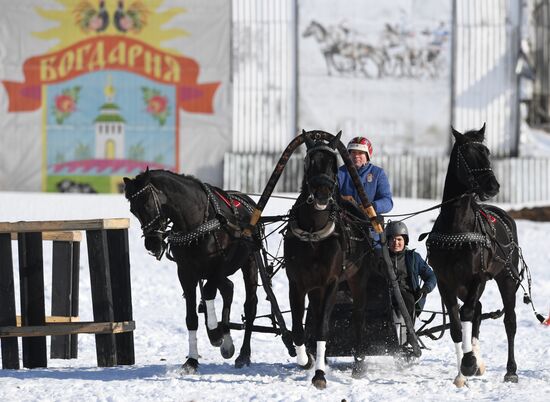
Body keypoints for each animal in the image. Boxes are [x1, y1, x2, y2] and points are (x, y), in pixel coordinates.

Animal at [125, 168, 264, 372]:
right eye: (133, 210)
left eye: (148, 204)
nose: (152, 244)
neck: (196, 222)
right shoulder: (185, 272)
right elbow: (191, 318)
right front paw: (191, 361)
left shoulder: (218, 266)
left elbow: (211, 290)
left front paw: (215, 333)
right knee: (226, 288)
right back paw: (225, 339)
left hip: (250, 261)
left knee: (249, 304)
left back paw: (243, 354)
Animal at [284, 133, 376, 390]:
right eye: (310, 162)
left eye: (334, 163)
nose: (323, 193)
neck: (314, 232)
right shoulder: (296, 283)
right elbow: (298, 329)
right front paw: (307, 360)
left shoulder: (332, 282)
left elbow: (323, 328)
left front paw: (320, 375)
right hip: (315, 288)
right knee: (314, 316)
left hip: (359, 279)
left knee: (359, 317)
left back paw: (358, 364)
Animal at [430, 125, 524, 386]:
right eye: (467, 154)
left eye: (487, 152)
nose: (493, 186)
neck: (457, 228)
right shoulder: (445, 281)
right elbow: (455, 324)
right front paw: (462, 372)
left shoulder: (476, 277)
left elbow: (467, 314)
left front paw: (469, 362)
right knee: (479, 311)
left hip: (505, 278)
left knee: (508, 321)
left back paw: (510, 370)